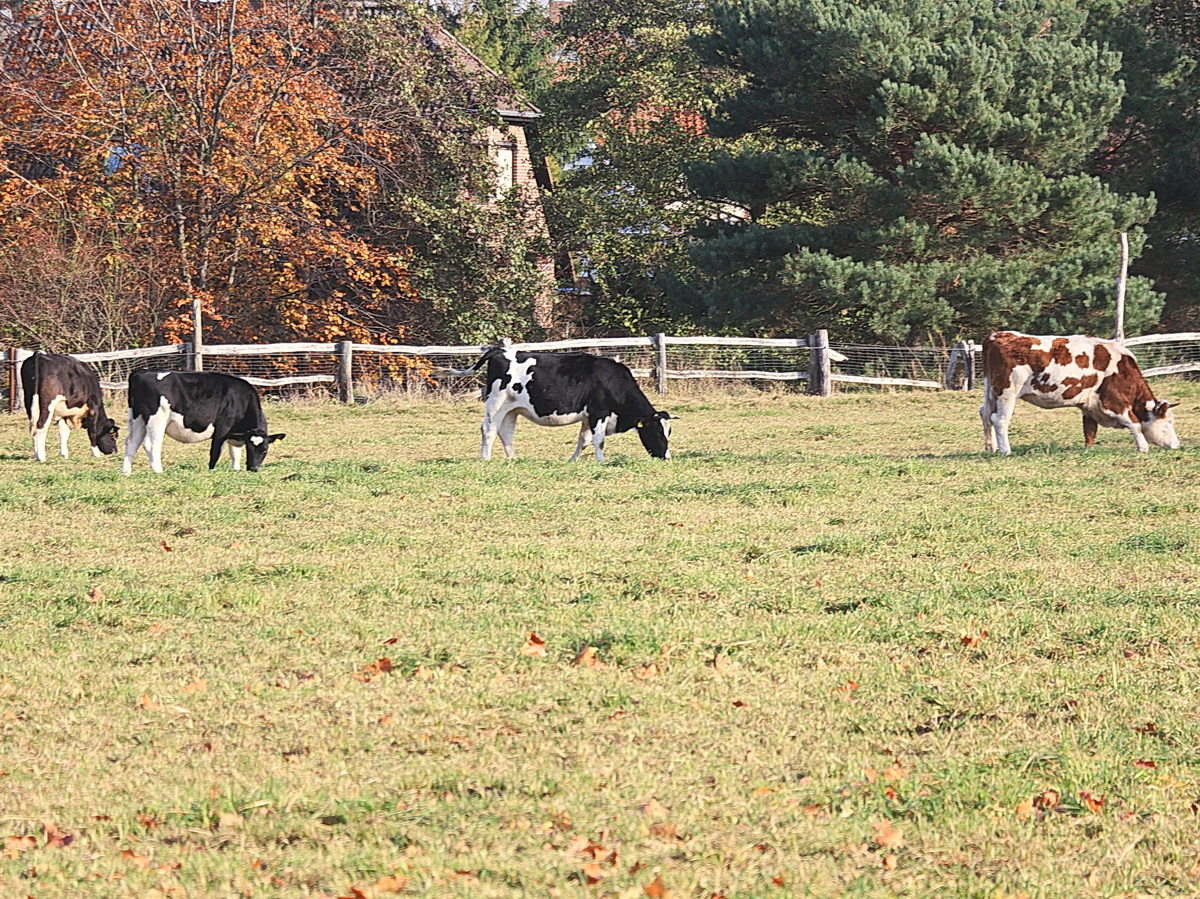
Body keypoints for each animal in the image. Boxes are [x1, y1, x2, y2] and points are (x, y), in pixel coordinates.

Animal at [122, 367, 285, 472]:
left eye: (264, 450)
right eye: (250, 448)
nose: (253, 468)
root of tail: (142, 372)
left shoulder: (236, 434)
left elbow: (235, 453)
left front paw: (236, 469)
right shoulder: (222, 430)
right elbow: (215, 452)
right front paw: (211, 471)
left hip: (137, 419)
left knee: (131, 443)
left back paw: (126, 472)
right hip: (157, 419)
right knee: (151, 445)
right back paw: (158, 471)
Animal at [463, 345, 676, 463]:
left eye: (669, 432)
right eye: (657, 432)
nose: (666, 458)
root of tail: (499, 351)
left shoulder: (588, 418)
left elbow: (584, 441)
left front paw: (572, 460)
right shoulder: (599, 412)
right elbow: (599, 440)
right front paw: (601, 461)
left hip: (511, 410)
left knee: (506, 432)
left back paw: (513, 459)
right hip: (495, 404)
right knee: (488, 430)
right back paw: (486, 459)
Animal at [984, 331, 1180, 456]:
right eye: (1168, 423)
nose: (1177, 444)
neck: (1122, 368)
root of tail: (997, 335)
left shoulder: (1089, 405)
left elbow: (1090, 429)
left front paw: (1088, 449)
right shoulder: (1113, 401)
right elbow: (1135, 423)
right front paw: (1143, 448)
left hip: (990, 391)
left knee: (985, 415)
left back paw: (990, 447)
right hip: (1007, 393)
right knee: (999, 420)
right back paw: (1005, 451)